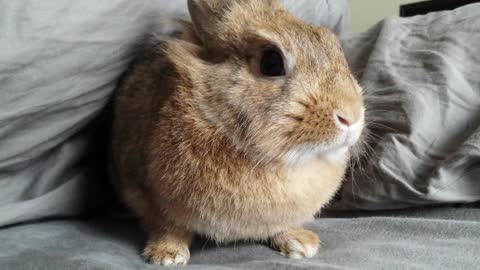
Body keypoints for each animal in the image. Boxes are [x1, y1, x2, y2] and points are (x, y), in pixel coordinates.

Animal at [111, 0, 364, 266]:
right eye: (272, 63)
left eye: (335, 48)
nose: (352, 116)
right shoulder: (146, 193)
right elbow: (168, 227)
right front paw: (167, 256)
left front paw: (301, 245)